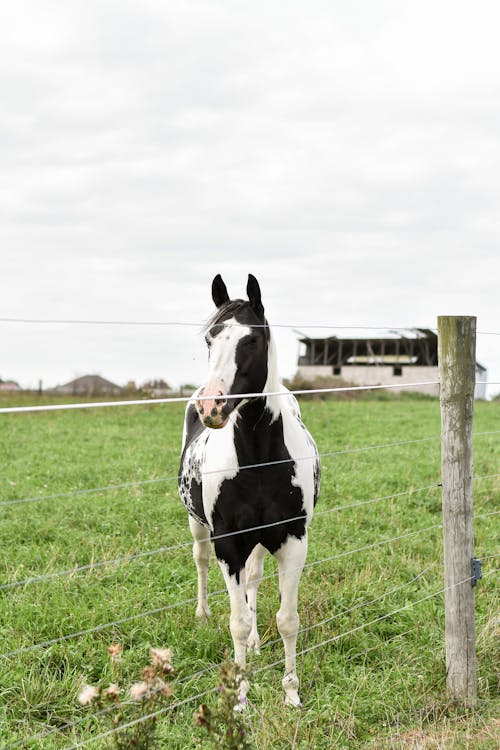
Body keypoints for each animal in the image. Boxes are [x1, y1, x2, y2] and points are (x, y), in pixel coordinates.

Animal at [179, 274, 320, 708]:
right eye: (210, 338)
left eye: (252, 340)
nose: (212, 406)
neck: (258, 458)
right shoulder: (228, 544)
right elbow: (237, 622)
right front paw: (240, 697)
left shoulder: (293, 540)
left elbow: (288, 619)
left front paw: (291, 693)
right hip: (198, 527)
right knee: (201, 562)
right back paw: (202, 613)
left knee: (255, 580)